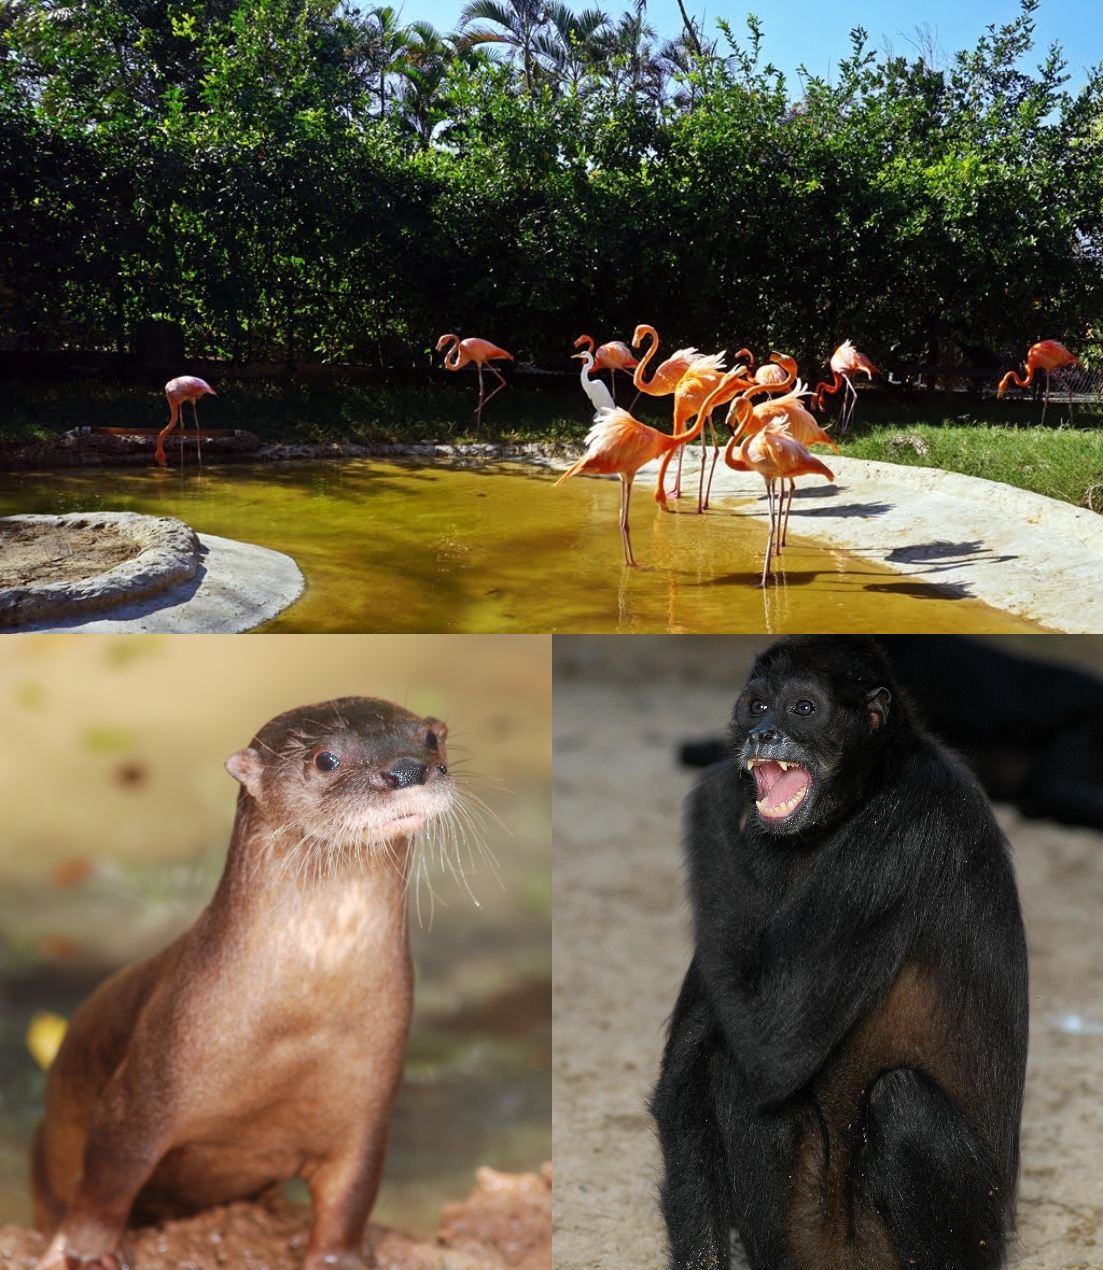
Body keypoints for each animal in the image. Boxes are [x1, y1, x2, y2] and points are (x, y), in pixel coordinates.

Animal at [34, 695, 456, 1270]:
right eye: (326, 759)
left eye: (428, 739)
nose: (409, 769)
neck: (296, 1016)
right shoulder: (141, 1093)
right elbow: (106, 1181)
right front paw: (86, 1252)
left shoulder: (367, 1113)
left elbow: (352, 1198)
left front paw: (340, 1259)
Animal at [649, 635, 1030, 1270]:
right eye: (757, 705)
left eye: (803, 709)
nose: (763, 735)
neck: (855, 803)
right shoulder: (762, 851)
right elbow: (691, 1081)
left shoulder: (906, 826)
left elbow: (774, 1043)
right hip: (808, 1235)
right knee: (736, 1074)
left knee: (904, 1103)